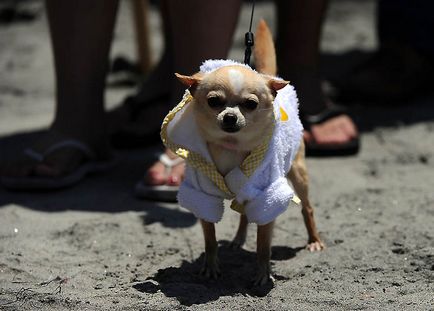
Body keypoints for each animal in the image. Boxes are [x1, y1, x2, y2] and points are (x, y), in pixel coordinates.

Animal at [173, 20, 322, 286]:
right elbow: (210, 239)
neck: (231, 146)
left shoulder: (267, 197)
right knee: (243, 214)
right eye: (213, 101)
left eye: (251, 104)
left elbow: (263, 245)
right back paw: (238, 239)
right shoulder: (203, 195)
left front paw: (263, 273)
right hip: (245, 189)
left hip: (298, 174)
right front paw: (210, 265)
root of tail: (269, 77)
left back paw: (313, 240)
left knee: (307, 207)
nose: (230, 117)